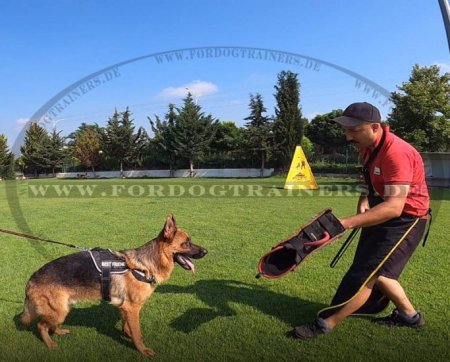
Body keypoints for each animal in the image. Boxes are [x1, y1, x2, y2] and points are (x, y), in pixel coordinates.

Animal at [20, 215, 207, 356]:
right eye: (187, 243)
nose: (206, 251)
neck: (145, 265)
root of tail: (32, 278)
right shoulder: (132, 308)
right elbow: (137, 333)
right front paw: (142, 349)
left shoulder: (125, 307)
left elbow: (127, 325)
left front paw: (127, 334)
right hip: (59, 311)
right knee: (41, 325)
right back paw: (50, 343)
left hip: (63, 308)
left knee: (49, 324)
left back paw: (59, 332)